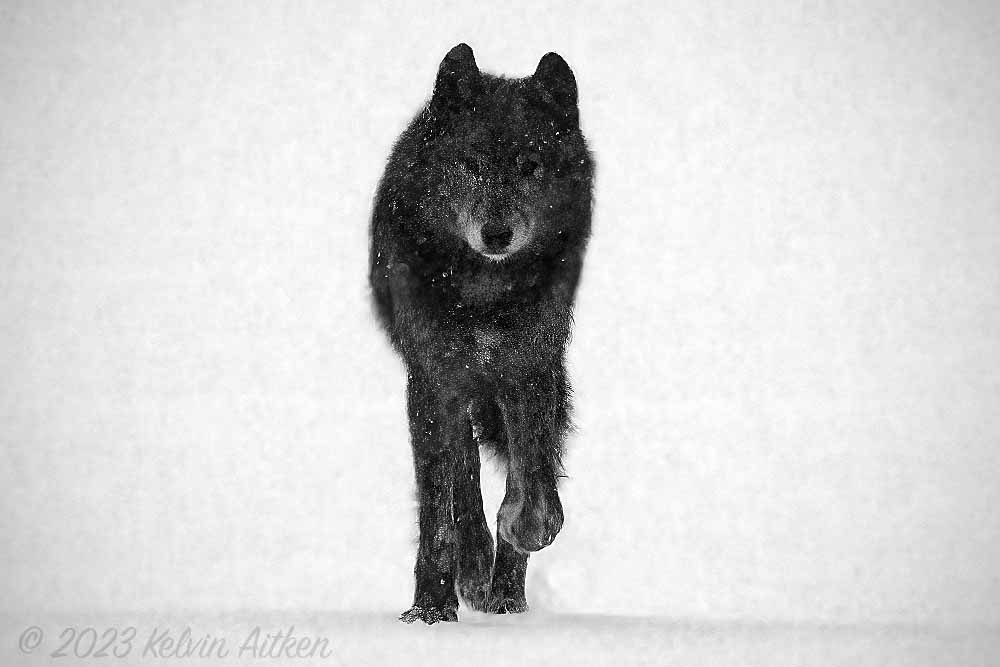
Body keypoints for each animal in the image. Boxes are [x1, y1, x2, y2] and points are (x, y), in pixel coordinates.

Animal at [369, 43, 593, 624]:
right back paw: (470, 572)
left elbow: (532, 470)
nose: (497, 235)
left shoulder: (530, 368)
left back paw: (507, 597)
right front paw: (431, 606)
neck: (483, 295)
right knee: (463, 472)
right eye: (469, 165)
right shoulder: (433, 381)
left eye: (529, 165)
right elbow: (441, 505)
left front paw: (525, 527)